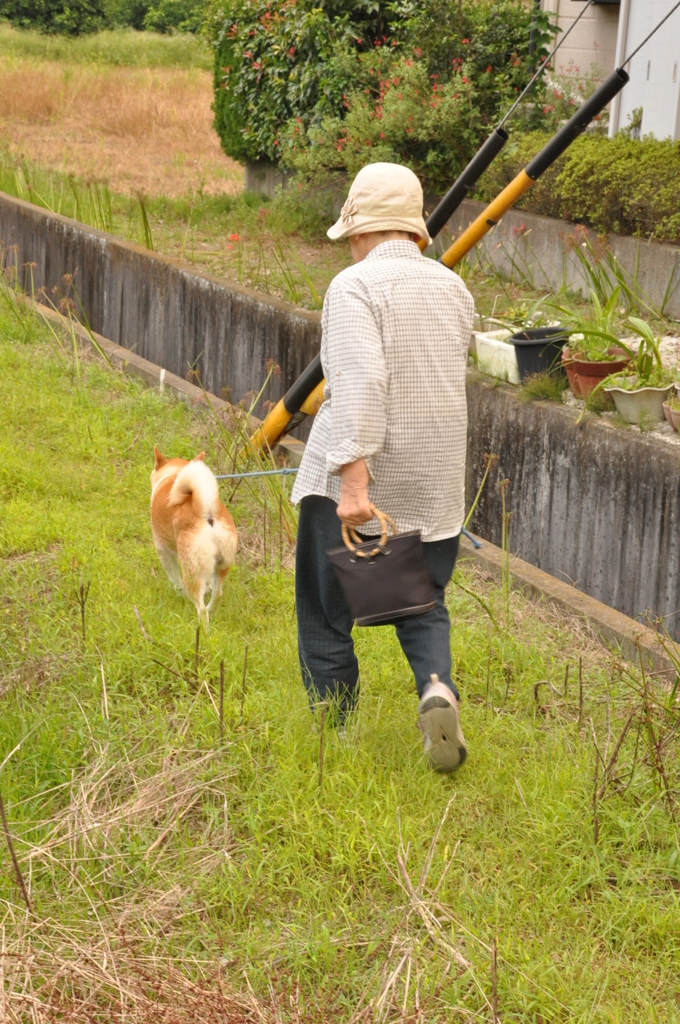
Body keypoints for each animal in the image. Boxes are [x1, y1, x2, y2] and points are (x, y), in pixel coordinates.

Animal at [150, 446, 237, 622]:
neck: (173, 474)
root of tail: (207, 512)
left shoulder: (163, 550)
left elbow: (175, 578)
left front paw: (180, 593)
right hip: (221, 567)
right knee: (218, 594)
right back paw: (211, 610)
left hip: (191, 572)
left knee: (201, 609)